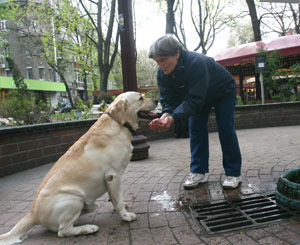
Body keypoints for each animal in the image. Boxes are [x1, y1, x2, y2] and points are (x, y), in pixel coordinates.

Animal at [0, 91, 158, 244]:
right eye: (140, 98)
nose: (157, 100)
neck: (118, 123)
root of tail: (33, 214)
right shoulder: (113, 176)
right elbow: (118, 199)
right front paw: (125, 215)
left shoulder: (111, 180)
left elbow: (114, 198)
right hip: (74, 199)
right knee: (63, 231)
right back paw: (88, 228)